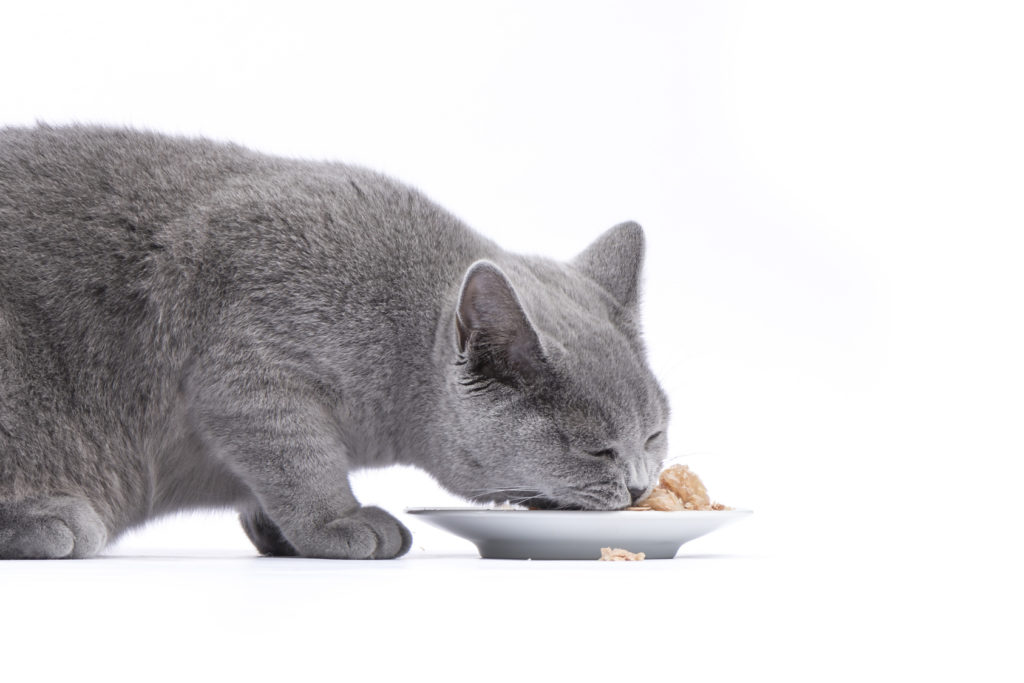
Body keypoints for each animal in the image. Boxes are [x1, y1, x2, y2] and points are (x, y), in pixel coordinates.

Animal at [0, 124, 671, 561]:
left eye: (654, 437)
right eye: (597, 450)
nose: (640, 488)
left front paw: (278, 533)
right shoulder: (248, 366)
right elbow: (299, 457)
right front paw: (340, 522)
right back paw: (48, 520)